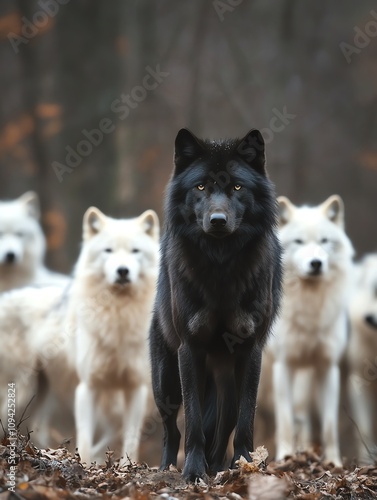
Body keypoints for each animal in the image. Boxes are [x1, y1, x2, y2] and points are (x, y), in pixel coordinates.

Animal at [148, 128, 280, 480]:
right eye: (201, 187)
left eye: (236, 187)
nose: (218, 220)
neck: (221, 267)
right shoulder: (190, 349)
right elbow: (193, 423)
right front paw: (194, 471)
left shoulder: (250, 350)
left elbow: (245, 420)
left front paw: (245, 465)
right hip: (165, 382)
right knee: (171, 430)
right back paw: (169, 467)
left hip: (224, 383)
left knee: (225, 423)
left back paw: (219, 465)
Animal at [268, 194, 352, 464]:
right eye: (299, 242)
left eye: (324, 241)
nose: (316, 263)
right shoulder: (283, 366)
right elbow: (284, 421)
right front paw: (284, 458)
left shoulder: (328, 367)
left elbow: (329, 426)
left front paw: (333, 463)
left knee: (302, 416)